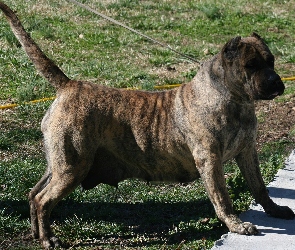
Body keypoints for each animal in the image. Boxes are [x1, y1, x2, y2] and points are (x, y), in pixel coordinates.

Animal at [1, 1, 294, 248]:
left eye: (271, 61)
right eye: (251, 65)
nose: (276, 83)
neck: (234, 98)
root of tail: (69, 86)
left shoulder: (247, 152)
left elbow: (259, 187)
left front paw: (274, 210)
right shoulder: (210, 160)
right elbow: (222, 197)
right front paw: (237, 225)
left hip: (61, 163)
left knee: (34, 193)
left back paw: (36, 233)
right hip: (72, 166)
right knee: (43, 200)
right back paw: (48, 239)